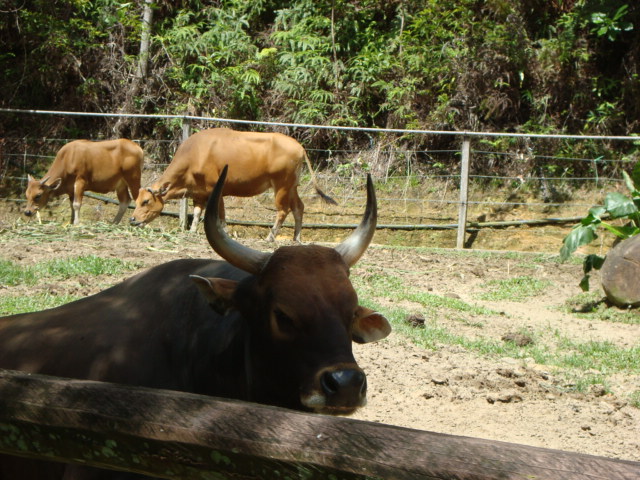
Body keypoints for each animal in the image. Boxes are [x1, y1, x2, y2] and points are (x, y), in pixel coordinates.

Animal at [129, 127, 336, 240]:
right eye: (136, 200)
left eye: (146, 201)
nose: (132, 219)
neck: (196, 154)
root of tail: (300, 147)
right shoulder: (199, 193)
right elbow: (196, 213)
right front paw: (193, 230)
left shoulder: (217, 191)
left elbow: (220, 215)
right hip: (292, 186)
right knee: (299, 208)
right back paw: (296, 238)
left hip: (282, 185)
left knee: (283, 211)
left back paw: (270, 237)